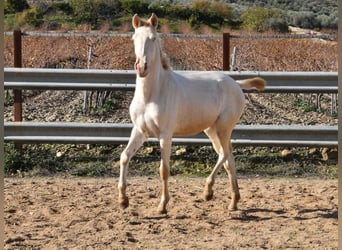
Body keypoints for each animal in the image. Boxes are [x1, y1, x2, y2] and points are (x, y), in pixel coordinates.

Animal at [118, 13, 268, 214]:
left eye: (153, 38)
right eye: (134, 38)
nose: (142, 67)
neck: (152, 95)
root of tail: (236, 84)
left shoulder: (165, 135)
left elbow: (164, 169)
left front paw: (162, 205)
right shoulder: (140, 131)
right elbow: (124, 157)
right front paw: (123, 200)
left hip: (223, 127)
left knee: (226, 153)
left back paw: (208, 191)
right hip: (211, 130)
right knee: (229, 159)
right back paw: (233, 201)